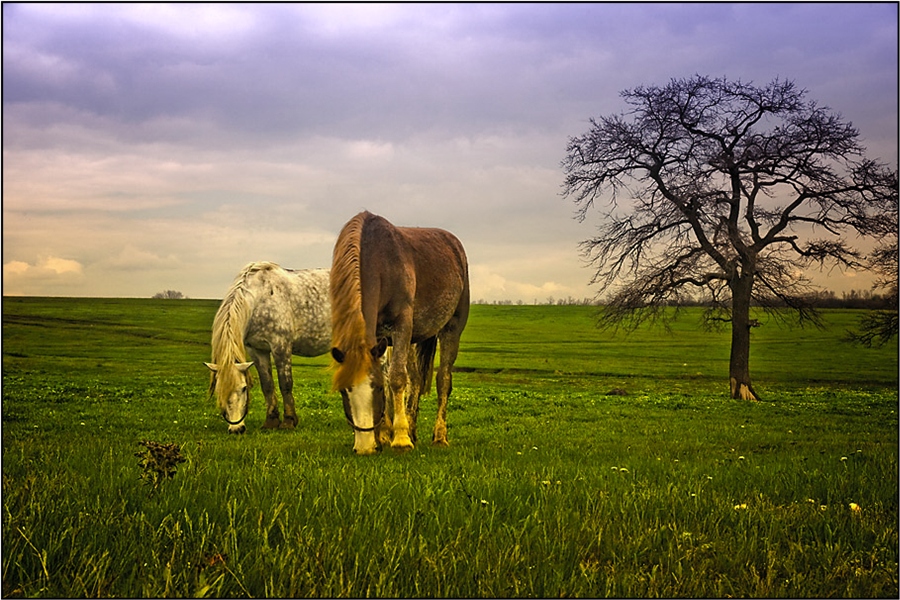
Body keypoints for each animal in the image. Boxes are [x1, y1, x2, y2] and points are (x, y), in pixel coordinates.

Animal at [205, 262, 330, 432]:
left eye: (244, 388)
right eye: (219, 390)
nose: (237, 429)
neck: (259, 300)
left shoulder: (280, 346)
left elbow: (285, 384)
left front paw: (289, 421)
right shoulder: (257, 350)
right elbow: (267, 385)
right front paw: (271, 421)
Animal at [330, 211, 472, 454]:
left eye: (376, 389)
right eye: (344, 391)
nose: (365, 448)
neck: (380, 262)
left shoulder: (401, 327)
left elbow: (396, 378)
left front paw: (401, 439)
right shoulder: (380, 338)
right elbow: (392, 377)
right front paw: (383, 435)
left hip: (451, 329)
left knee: (443, 379)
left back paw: (439, 436)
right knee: (415, 380)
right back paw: (412, 431)